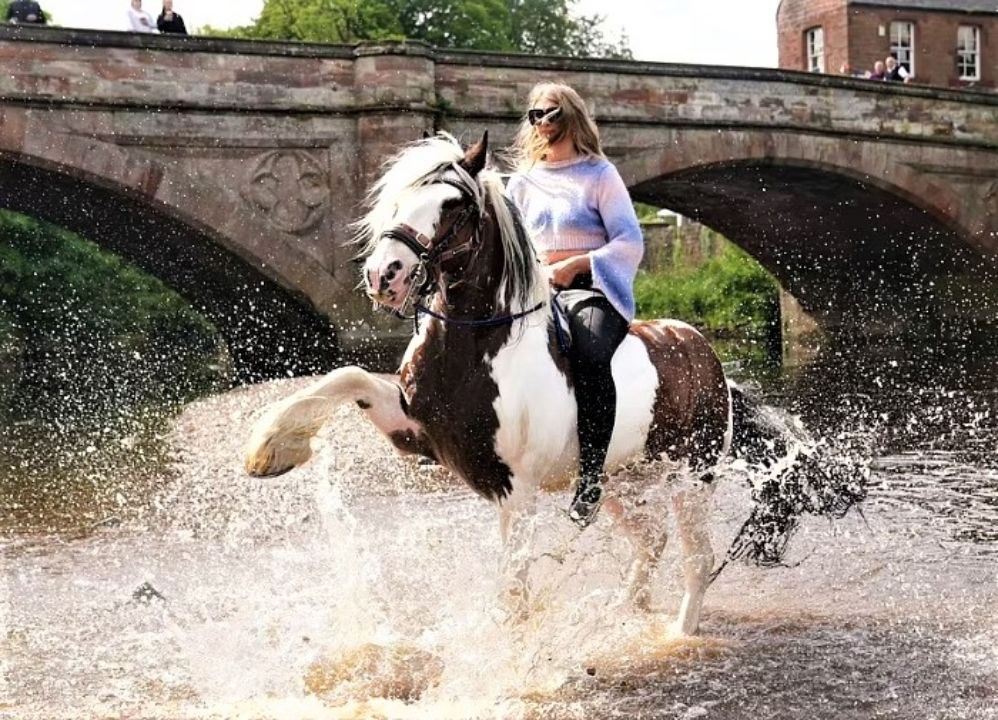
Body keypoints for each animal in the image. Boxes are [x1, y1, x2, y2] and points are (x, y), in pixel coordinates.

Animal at [245, 132, 736, 632]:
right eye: (397, 198)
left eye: (453, 204)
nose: (384, 274)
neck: (476, 349)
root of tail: (698, 345)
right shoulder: (414, 428)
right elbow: (349, 375)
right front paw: (271, 446)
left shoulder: (516, 491)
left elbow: (513, 597)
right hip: (622, 479)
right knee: (651, 538)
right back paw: (624, 611)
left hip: (692, 476)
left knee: (697, 556)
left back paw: (680, 631)